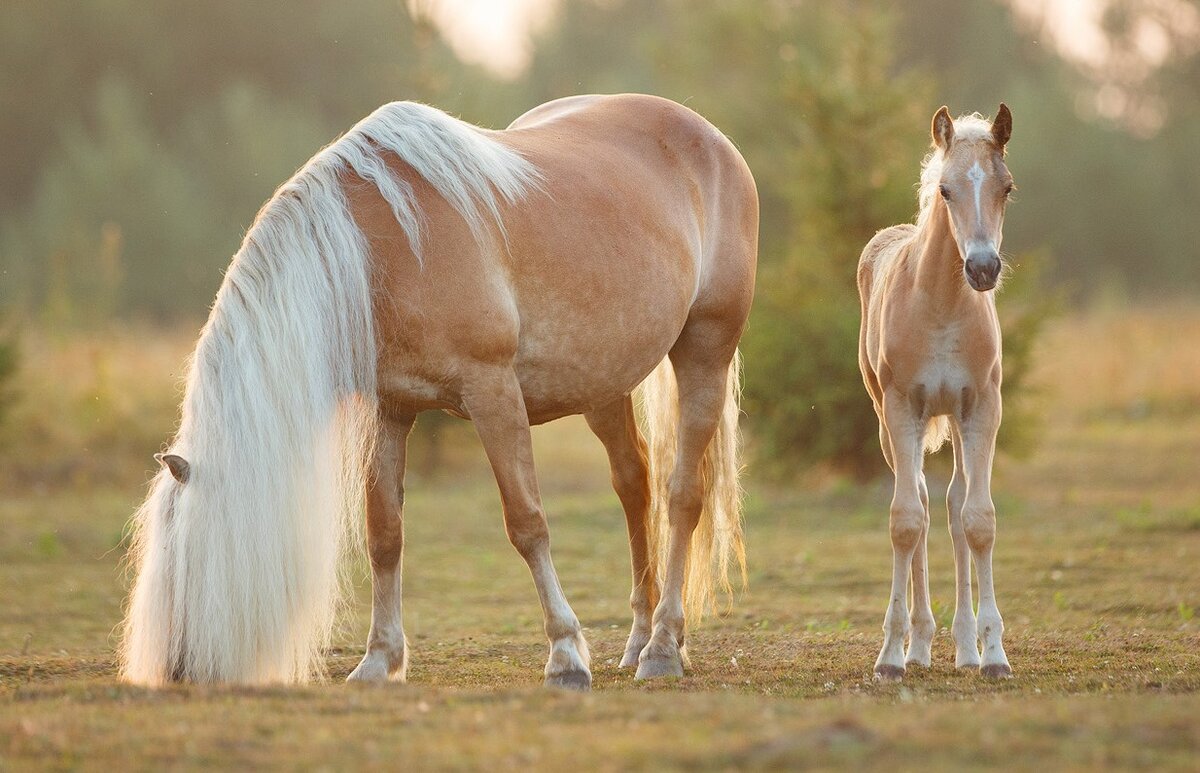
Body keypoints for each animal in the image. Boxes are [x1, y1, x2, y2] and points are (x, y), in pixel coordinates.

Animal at [121, 93, 758, 691]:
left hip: (705, 351)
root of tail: (712, 141)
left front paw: (565, 656)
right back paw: (637, 640)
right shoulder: (391, 409)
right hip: (604, 384)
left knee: (683, 496)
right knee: (634, 485)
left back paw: (663, 648)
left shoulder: (492, 392)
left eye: (186, 564)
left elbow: (526, 523)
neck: (382, 251)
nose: (177, 671)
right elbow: (384, 532)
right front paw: (379, 660)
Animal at [859, 104, 1017, 681]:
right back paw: (919, 644)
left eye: (1007, 187)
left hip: (953, 419)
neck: (944, 304)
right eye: (946, 190)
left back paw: (965, 647)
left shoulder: (982, 409)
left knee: (949, 506)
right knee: (924, 506)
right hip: (888, 421)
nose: (983, 268)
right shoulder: (903, 409)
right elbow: (905, 522)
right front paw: (890, 656)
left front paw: (994, 654)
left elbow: (978, 521)